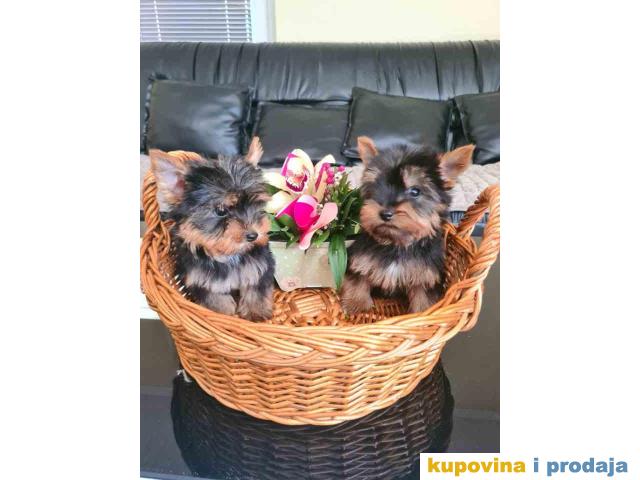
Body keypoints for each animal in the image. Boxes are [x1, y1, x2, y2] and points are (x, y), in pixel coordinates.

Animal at [149, 137, 274, 321]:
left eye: (256, 204)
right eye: (221, 210)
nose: (253, 235)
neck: (228, 255)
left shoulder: (259, 266)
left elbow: (256, 288)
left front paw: (256, 313)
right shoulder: (200, 280)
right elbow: (216, 300)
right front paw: (224, 314)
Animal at [340, 136, 475, 315]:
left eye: (415, 191)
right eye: (376, 186)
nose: (385, 213)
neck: (396, 244)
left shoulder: (426, 275)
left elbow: (424, 298)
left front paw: (424, 312)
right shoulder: (360, 258)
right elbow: (358, 277)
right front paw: (356, 304)